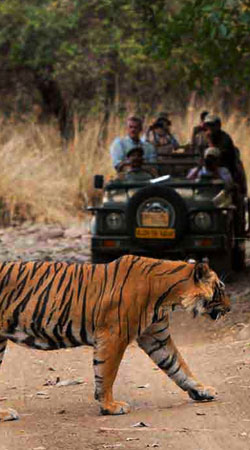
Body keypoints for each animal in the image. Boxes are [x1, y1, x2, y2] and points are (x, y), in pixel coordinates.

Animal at [0, 255, 230, 420]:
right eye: (221, 287)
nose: (229, 309)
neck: (167, 296)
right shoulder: (114, 335)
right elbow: (107, 373)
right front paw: (110, 406)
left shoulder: (156, 337)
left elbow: (178, 365)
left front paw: (201, 391)